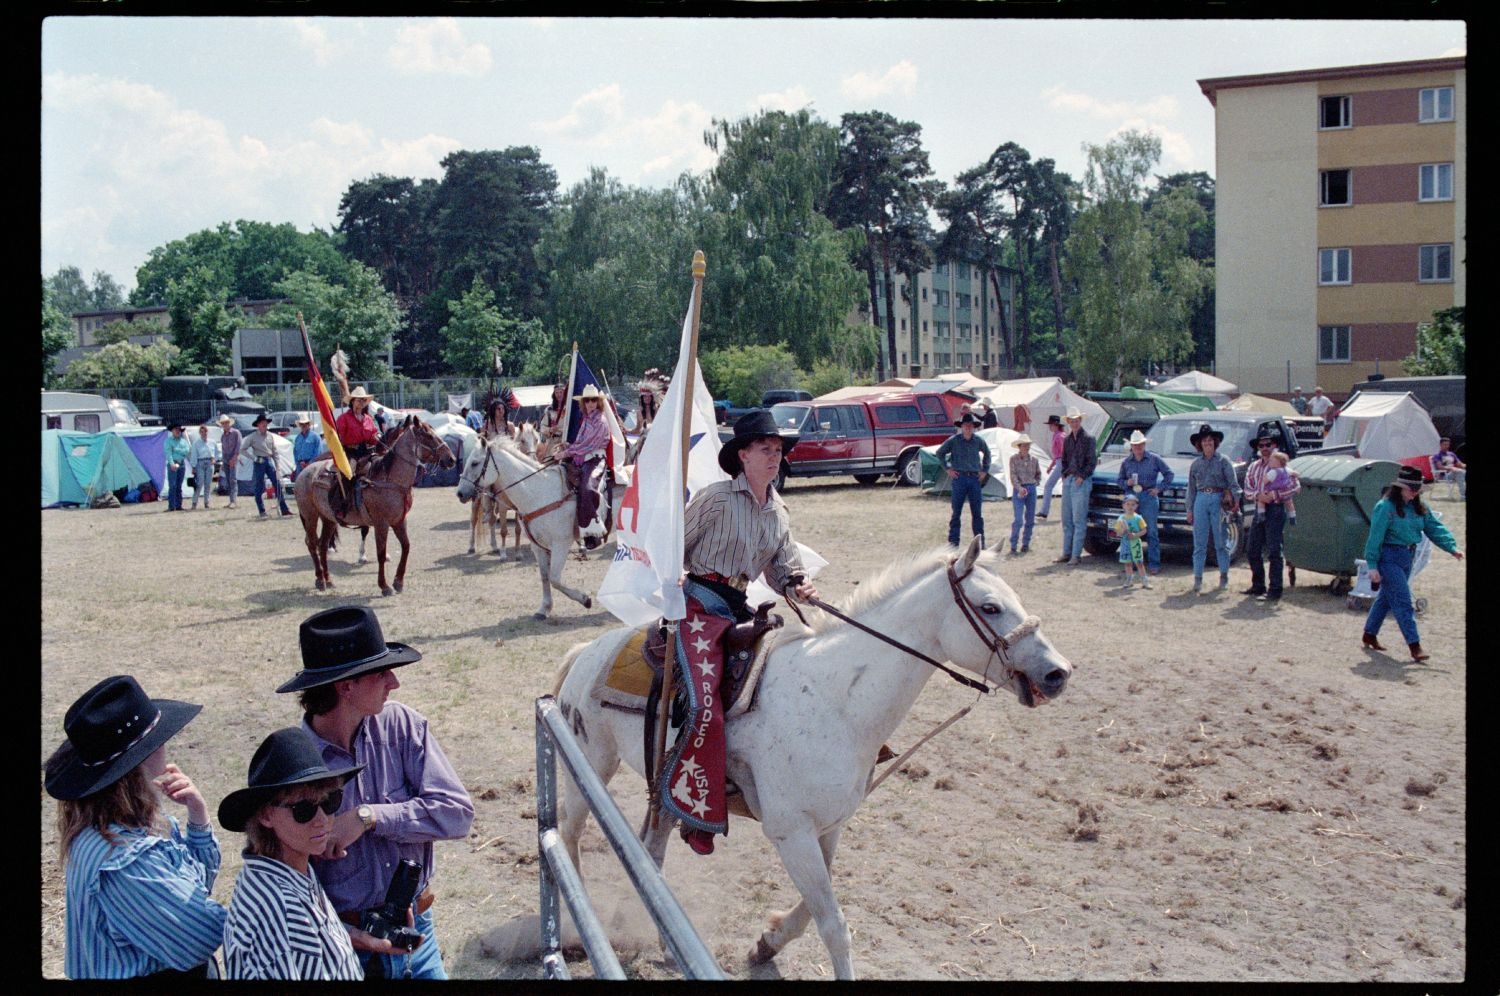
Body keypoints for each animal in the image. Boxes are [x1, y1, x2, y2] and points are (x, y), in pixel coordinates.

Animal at [292, 417, 453, 594]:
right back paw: (320, 580)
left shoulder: (399, 521)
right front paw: (384, 586)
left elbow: (406, 547)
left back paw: (328, 580)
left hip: (328, 519)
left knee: (322, 545)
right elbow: (381, 553)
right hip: (310, 516)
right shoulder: (381, 523)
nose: (451, 458)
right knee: (312, 543)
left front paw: (398, 582)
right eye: (429, 436)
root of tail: (304, 471)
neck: (390, 481)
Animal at [456, 435, 591, 618]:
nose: (460, 493)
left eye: (475, 463)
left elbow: (554, 579)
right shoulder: (538, 545)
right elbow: (545, 576)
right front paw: (544, 608)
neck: (540, 492)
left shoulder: (560, 543)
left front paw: (585, 599)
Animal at [549, 537, 1068, 978]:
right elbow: (834, 925)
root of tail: (586, 651)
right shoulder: (791, 832)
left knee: (650, 852)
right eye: (990, 606)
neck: (835, 697)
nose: (1058, 673)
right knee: (571, 830)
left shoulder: (829, 825)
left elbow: (816, 907)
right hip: (591, 763)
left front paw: (768, 941)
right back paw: (577, 929)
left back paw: (667, 944)